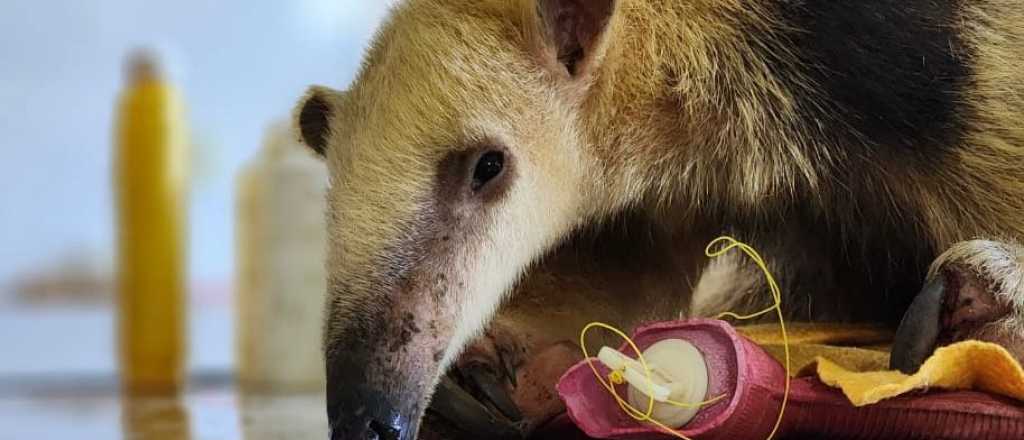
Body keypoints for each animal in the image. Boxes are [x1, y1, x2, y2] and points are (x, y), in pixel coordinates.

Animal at [292, 0, 1024, 438]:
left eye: (488, 166)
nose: (370, 420)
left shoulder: (940, 78)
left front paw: (984, 301)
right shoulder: (645, 198)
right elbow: (617, 279)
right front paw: (504, 372)